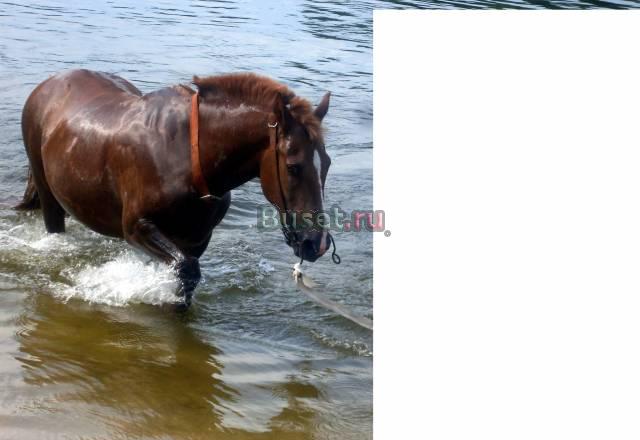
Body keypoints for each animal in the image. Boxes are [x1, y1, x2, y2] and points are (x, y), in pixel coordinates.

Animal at [15, 69, 333, 306]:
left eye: (327, 164)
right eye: (293, 167)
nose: (315, 243)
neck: (187, 156)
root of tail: (49, 84)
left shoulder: (196, 239)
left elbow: (184, 278)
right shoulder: (137, 227)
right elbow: (186, 271)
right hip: (47, 192)